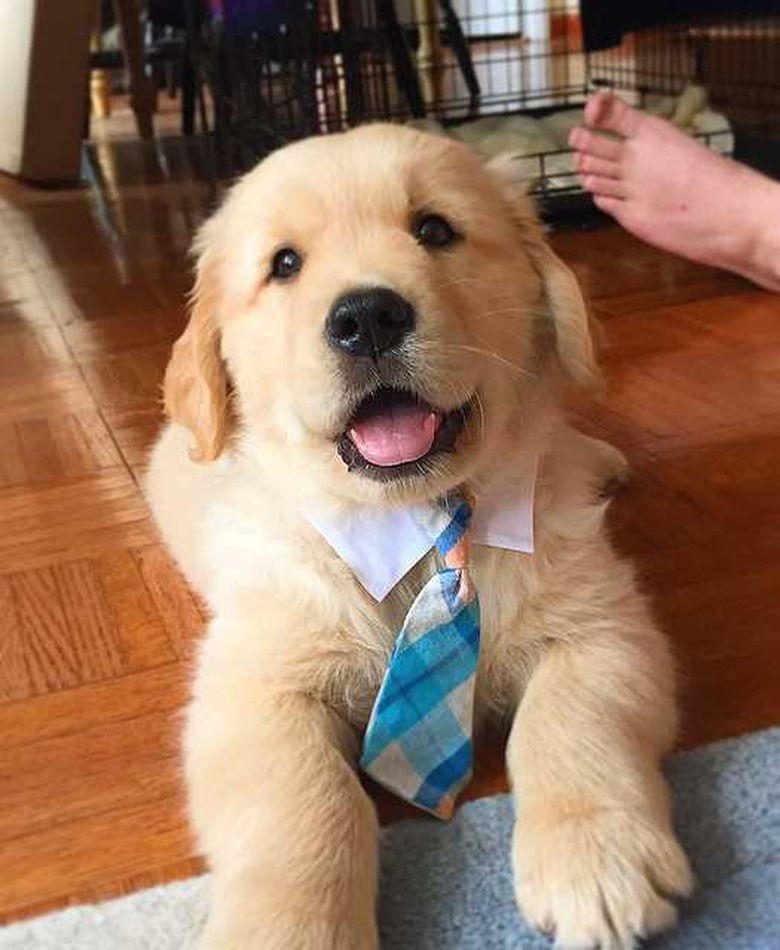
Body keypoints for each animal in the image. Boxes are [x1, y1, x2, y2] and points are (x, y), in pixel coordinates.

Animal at [145, 126, 688, 950]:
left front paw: (598, 859)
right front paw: (290, 930)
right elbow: (304, 803)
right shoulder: (258, 685)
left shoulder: (603, 628)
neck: (425, 520)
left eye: (434, 230)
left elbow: (572, 719)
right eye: (284, 264)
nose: (367, 317)